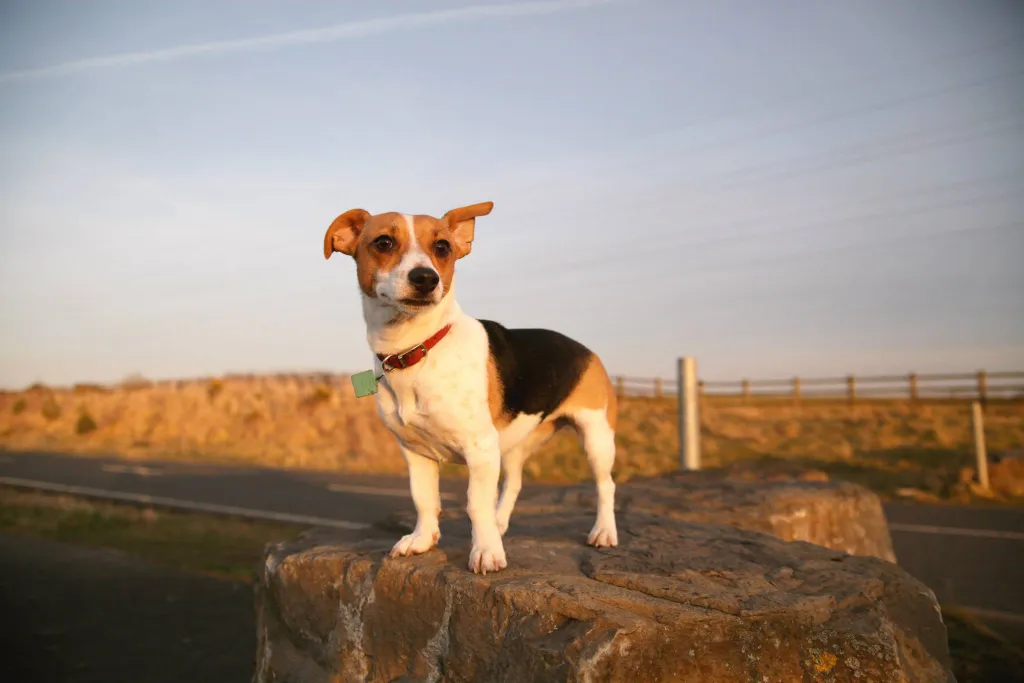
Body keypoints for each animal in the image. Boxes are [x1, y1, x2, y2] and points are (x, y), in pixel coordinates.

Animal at [325, 200, 614, 573]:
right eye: (384, 242)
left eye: (442, 247)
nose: (425, 277)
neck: (417, 350)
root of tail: (586, 349)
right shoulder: (415, 452)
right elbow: (424, 500)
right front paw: (422, 540)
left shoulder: (480, 449)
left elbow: (475, 505)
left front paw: (487, 551)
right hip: (513, 443)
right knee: (514, 483)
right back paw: (500, 522)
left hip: (596, 439)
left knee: (606, 485)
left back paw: (604, 532)